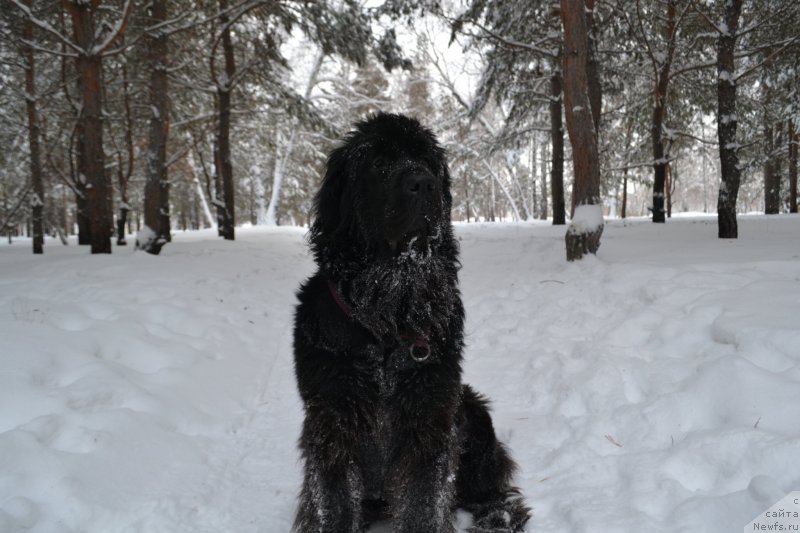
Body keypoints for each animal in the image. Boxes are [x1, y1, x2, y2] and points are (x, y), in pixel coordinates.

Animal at [290, 112, 528, 532]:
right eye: (377, 163)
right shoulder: (332, 423)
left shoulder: (430, 419)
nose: (425, 183)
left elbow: (423, 502)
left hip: (472, 410)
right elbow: (333, 503)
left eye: (429, 161)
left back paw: (498, 515)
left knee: (492, 488)